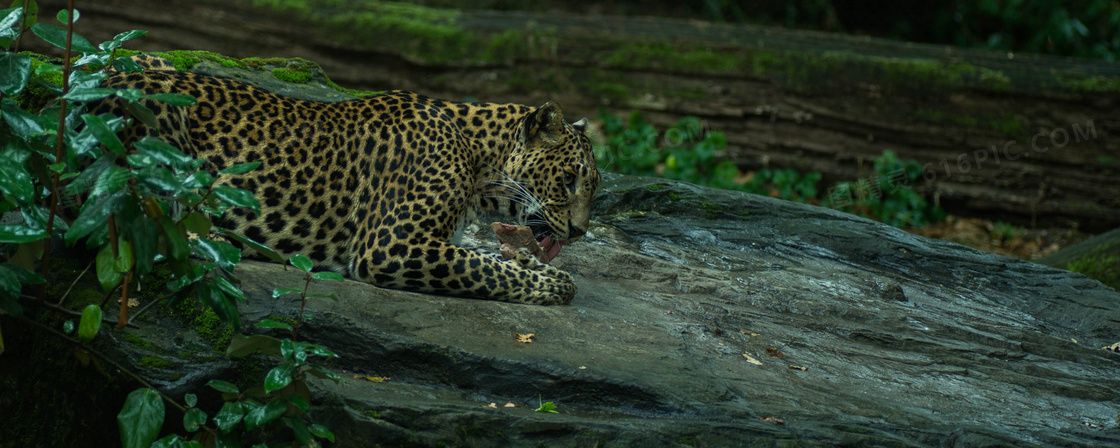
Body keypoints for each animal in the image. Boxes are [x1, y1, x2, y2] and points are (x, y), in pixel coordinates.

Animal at [98, 56, 595, 304]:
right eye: (569, 179)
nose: (579, 231)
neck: (478, 158)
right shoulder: (393, 245)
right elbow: (484, 269)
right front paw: (555, 282)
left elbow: (489, 258)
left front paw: (531, 263)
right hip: (155, 116)